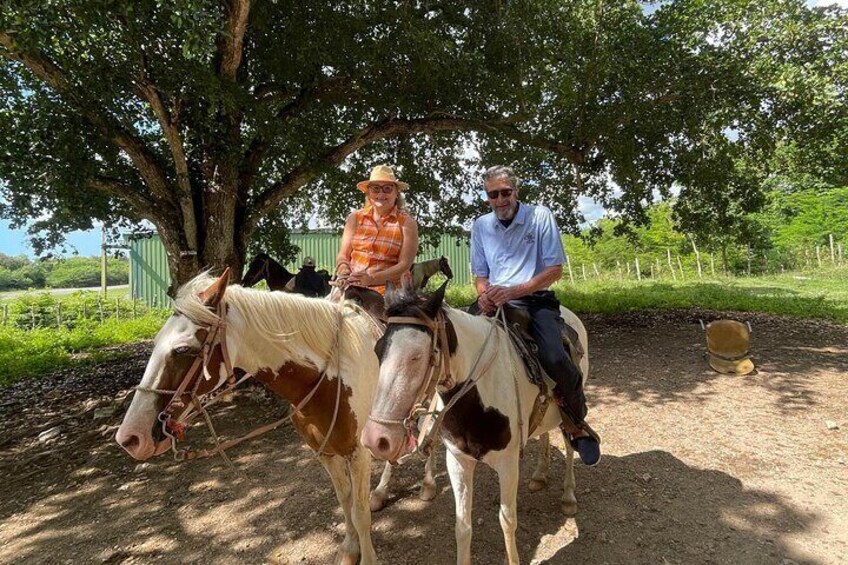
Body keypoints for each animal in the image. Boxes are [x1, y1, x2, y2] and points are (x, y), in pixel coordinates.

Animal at [116, 270, 438, 560]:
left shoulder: (358, 452)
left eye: (183, 349)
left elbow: (359, 514)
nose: (130, 437)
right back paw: (381, 492)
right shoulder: (327, 452)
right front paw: (348, 549)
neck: (330, 377)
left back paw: (428, 486)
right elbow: (345, 501)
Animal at [360, 282, 588, 564]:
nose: (375, 439)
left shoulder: (508, 463)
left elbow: (507, 521)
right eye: (378, 350)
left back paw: (569, 496)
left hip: (569, 410)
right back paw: (539, 475)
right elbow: (463, 526)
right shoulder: (458, 460)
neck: (478, 396)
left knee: (569, 445)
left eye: (416, 356)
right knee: (543, 434)